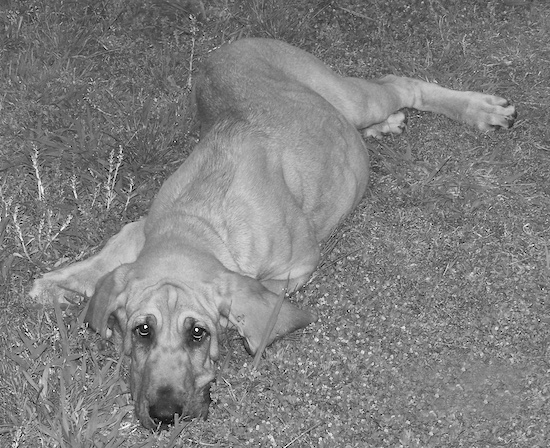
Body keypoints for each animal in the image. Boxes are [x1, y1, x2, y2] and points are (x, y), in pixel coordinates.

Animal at [30, 37, 520, 428]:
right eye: (142, 330)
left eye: (197, 333)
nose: (165, 415)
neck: (198, 222)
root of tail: (230, 45)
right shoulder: (138, 232)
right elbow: (98, 264)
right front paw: (56, 284)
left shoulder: (298, 265)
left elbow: (258, 296)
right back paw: (387, 125)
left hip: (351, 94)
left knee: (401, 83)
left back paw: (480, 109)